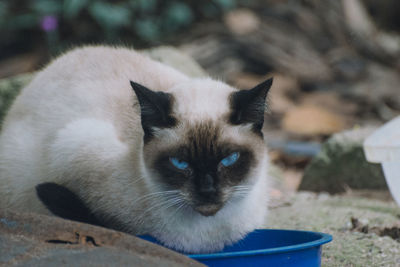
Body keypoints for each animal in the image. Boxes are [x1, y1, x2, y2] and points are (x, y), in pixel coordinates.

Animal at [0, 46, 272, 253]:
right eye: (180, 163)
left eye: (229, 159)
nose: (207, 191)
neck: (206, 240)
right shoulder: (72, 149)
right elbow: (98, 223)